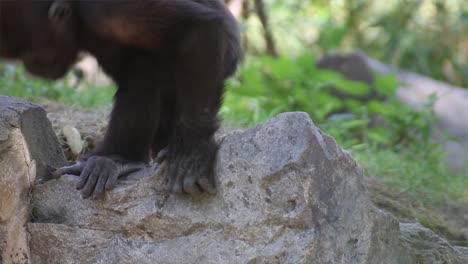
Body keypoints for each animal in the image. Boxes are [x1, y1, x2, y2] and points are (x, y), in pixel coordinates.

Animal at [0, 0, 239, 198]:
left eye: (36, 56)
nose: (33, 67)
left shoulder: (107, 10)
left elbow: (198, 26)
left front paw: (192, 149)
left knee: (144, 66)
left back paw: (121, 157)